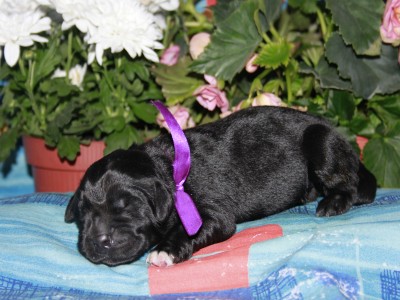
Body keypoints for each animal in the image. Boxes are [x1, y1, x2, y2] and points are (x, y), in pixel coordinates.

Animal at [64, 106, 376, 268]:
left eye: (128, 206)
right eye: (83, 213)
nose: (99, 241)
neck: (167, 169)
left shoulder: (212, 214)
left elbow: (187, 231)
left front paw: (165, 251)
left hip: (320, 140)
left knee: (350, 185)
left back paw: (332, 203)